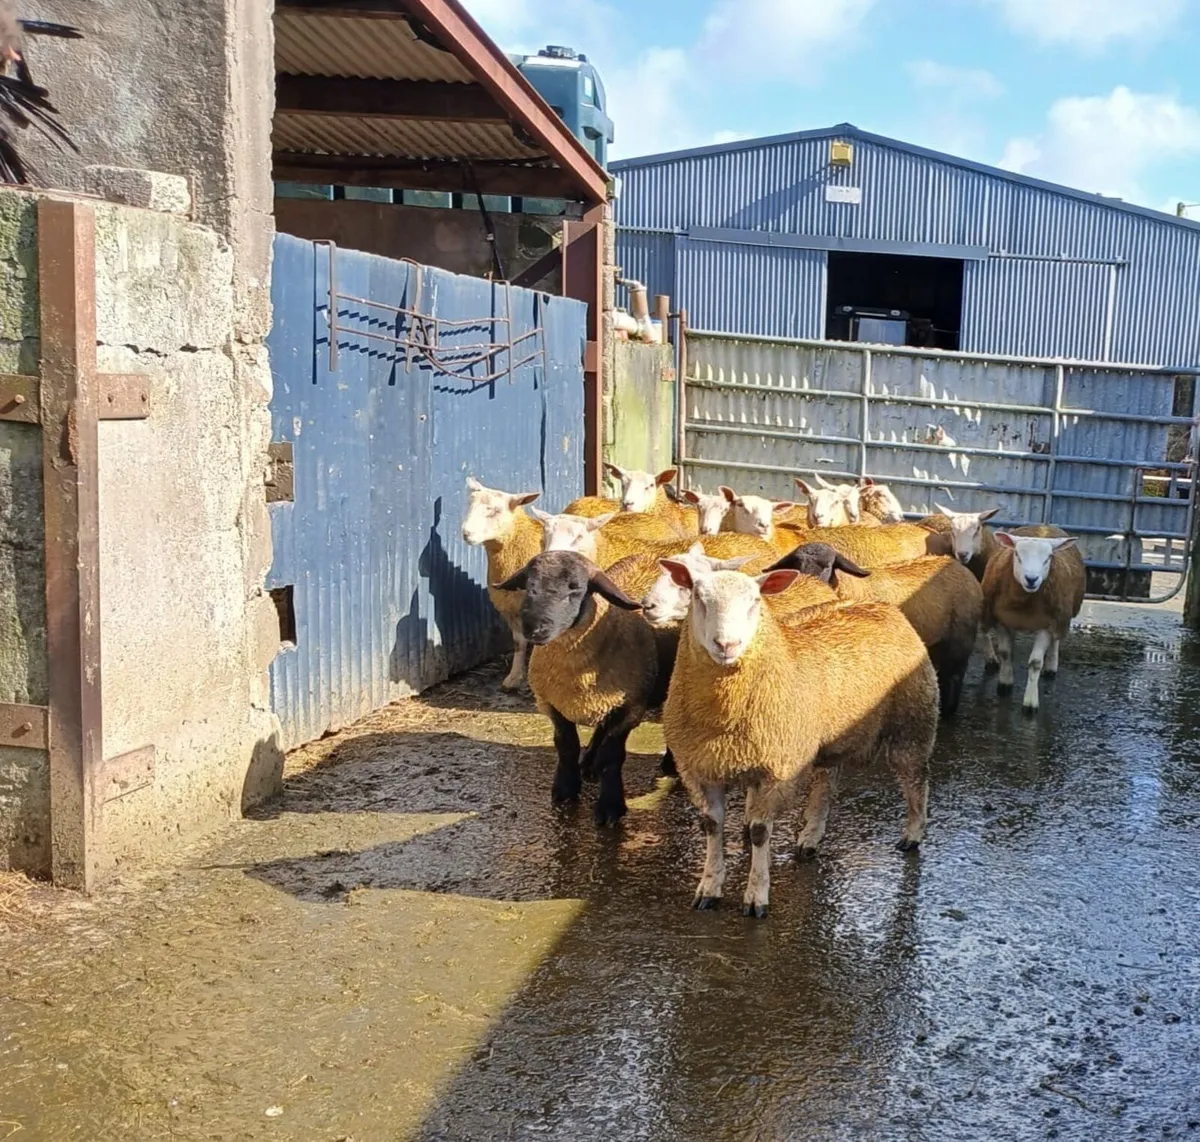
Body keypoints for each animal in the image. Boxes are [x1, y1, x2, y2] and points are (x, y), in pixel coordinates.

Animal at [460, 476, 543, 689]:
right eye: (469, 504)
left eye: (495, 510)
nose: (466, 533)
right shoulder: (511, 609)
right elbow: (518, 644)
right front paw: (514, 678)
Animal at [492, 550, 671, 826]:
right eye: (529, 585)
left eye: (575, 588)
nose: (535, 629)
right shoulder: (552, 704)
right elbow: (566, 746)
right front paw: (565, 789)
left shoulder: (630, 707)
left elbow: (611, 757)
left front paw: (610, 806)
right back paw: (588, 762)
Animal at [660, 561, 938, 917]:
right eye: (698, 597)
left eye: (755, 601)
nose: (727, 645)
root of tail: (882, 606)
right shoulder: (701, 769)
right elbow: (712, 826)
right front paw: (709, 887)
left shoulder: (778, 769)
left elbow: (761, 832)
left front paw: (756, 896)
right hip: (832, 737)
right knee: (826, 783)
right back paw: (811, 836)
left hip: (912, 722)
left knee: (916, 780)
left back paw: (913, 834)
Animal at [766, 542, 983, 717]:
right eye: (796, 565)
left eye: (827, 566)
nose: (806, 583)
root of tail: (960, 567)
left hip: (960, 640)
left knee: (955, 675)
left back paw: (948, 712)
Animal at [982, 530, 1085, 712]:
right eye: (1017, 554)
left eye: (1048, 557)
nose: (1031, 579)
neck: (1025, 603)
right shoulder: (1002, 620)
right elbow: (1005, 653)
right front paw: (1004, 684)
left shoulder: (1047, 625)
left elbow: (1035, 662)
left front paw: (1030, 703)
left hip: (1060, 615)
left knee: (1056, 640)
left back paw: (1051, 667)